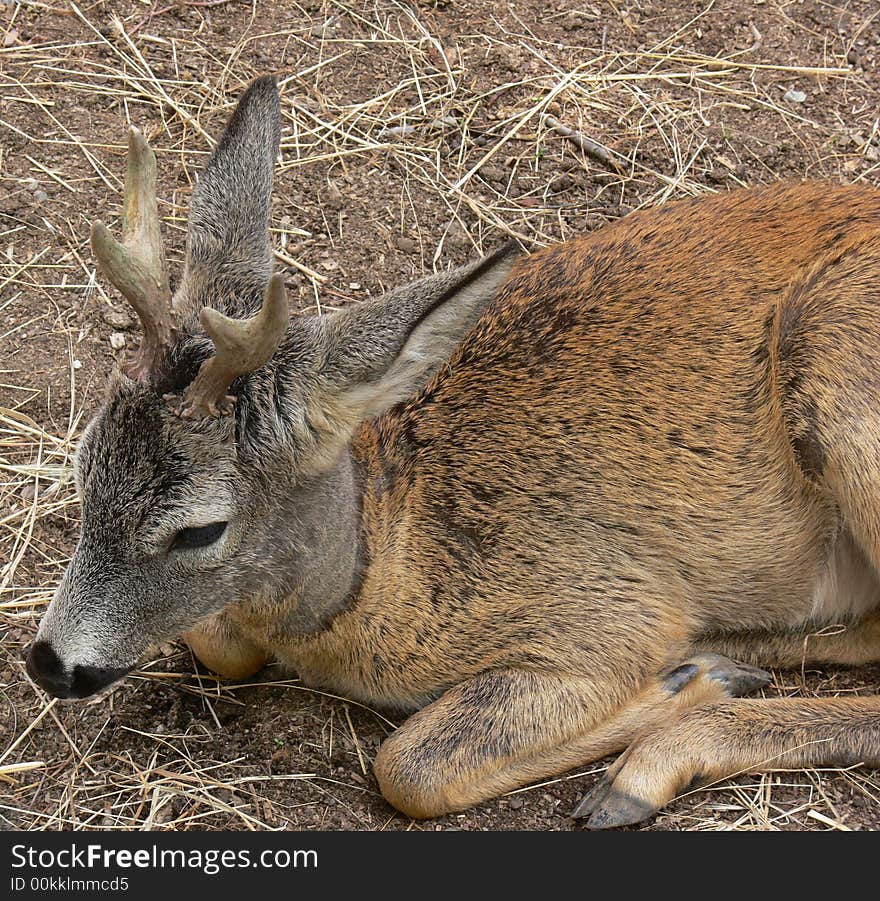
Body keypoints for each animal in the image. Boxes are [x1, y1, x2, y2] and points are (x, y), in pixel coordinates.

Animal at [24, 77, 880, 828]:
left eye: (201, 528)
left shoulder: (610, 614)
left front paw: (684, 683)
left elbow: (410, 765)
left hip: (836, 359)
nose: (48, 663)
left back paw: (655, 755)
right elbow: (219, 641)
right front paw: (701, 670)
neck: (391, 561)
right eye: (82, 466)